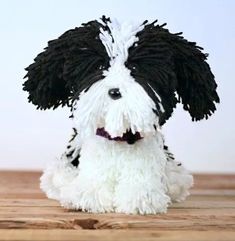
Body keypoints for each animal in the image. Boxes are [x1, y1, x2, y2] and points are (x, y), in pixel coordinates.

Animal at [23, 16, 218, 214]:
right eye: (100, 66)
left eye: (134, 67)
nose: (115, 92)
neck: (119, 139)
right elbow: (92, 187)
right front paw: (89, 197)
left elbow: (141, 188)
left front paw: (141, 200)